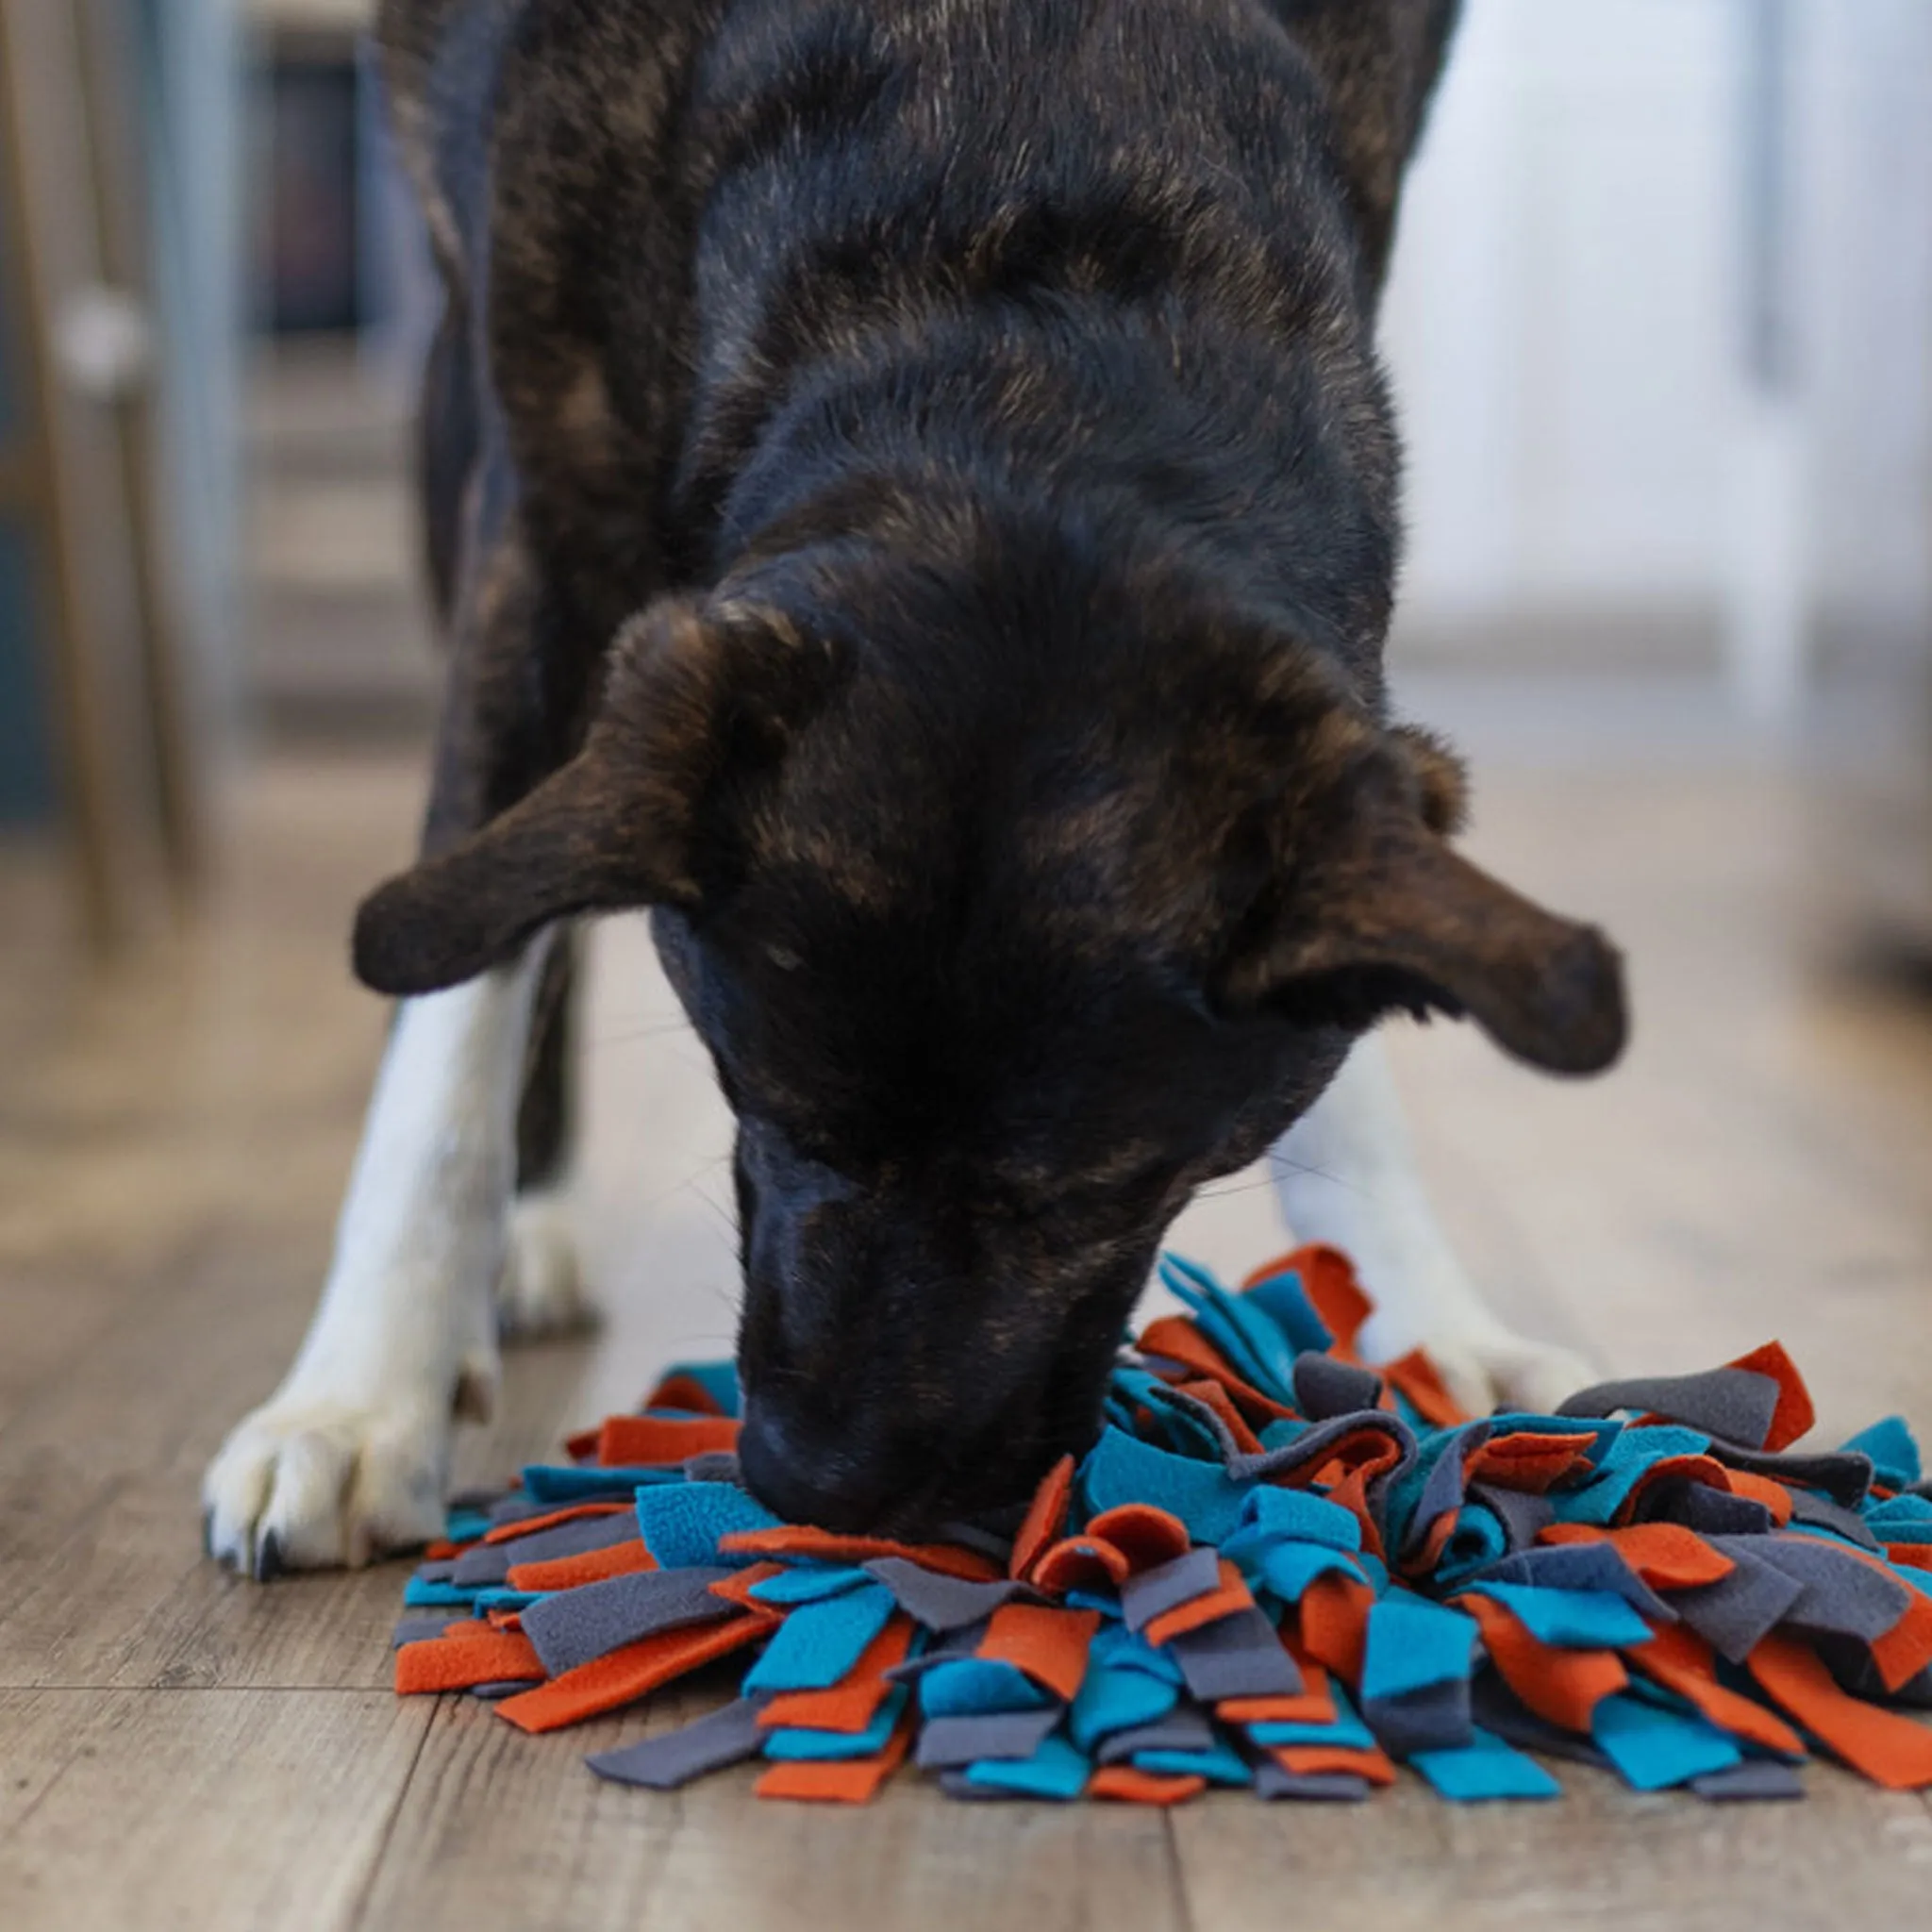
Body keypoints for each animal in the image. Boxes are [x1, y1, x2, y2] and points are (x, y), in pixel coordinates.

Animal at [199, 0, 1615, 1576]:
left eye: (1090, 1196)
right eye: (758, 1100)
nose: (820, 1485)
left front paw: (1419, 1323)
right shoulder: (542, 527)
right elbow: (455, 1004)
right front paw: (361, 1400)